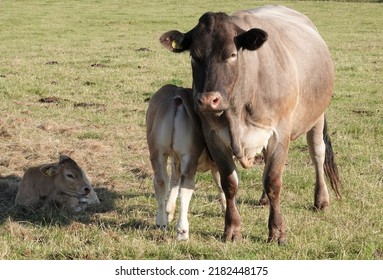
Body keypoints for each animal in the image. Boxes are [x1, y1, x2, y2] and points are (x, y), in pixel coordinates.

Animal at [146, 84, 226, 240]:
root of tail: (176, 95)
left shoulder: (175, 159)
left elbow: (174, 181)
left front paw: (169, 212)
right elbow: (222, 185)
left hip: (158, 152)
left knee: (161, 182)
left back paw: (161, 221)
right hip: (188, 157)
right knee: (185, 190)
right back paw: (183, 231)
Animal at [160, 4, 340, 245]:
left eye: (232, 54)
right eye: (194, 56)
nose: (208, 100)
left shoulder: (279, 133)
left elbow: (273, 181)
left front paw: (277, 231)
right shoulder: (214, 136)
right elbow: (230, 183)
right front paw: (232, 229)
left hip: (317, 116)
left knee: (317, 154)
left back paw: (321, 199)